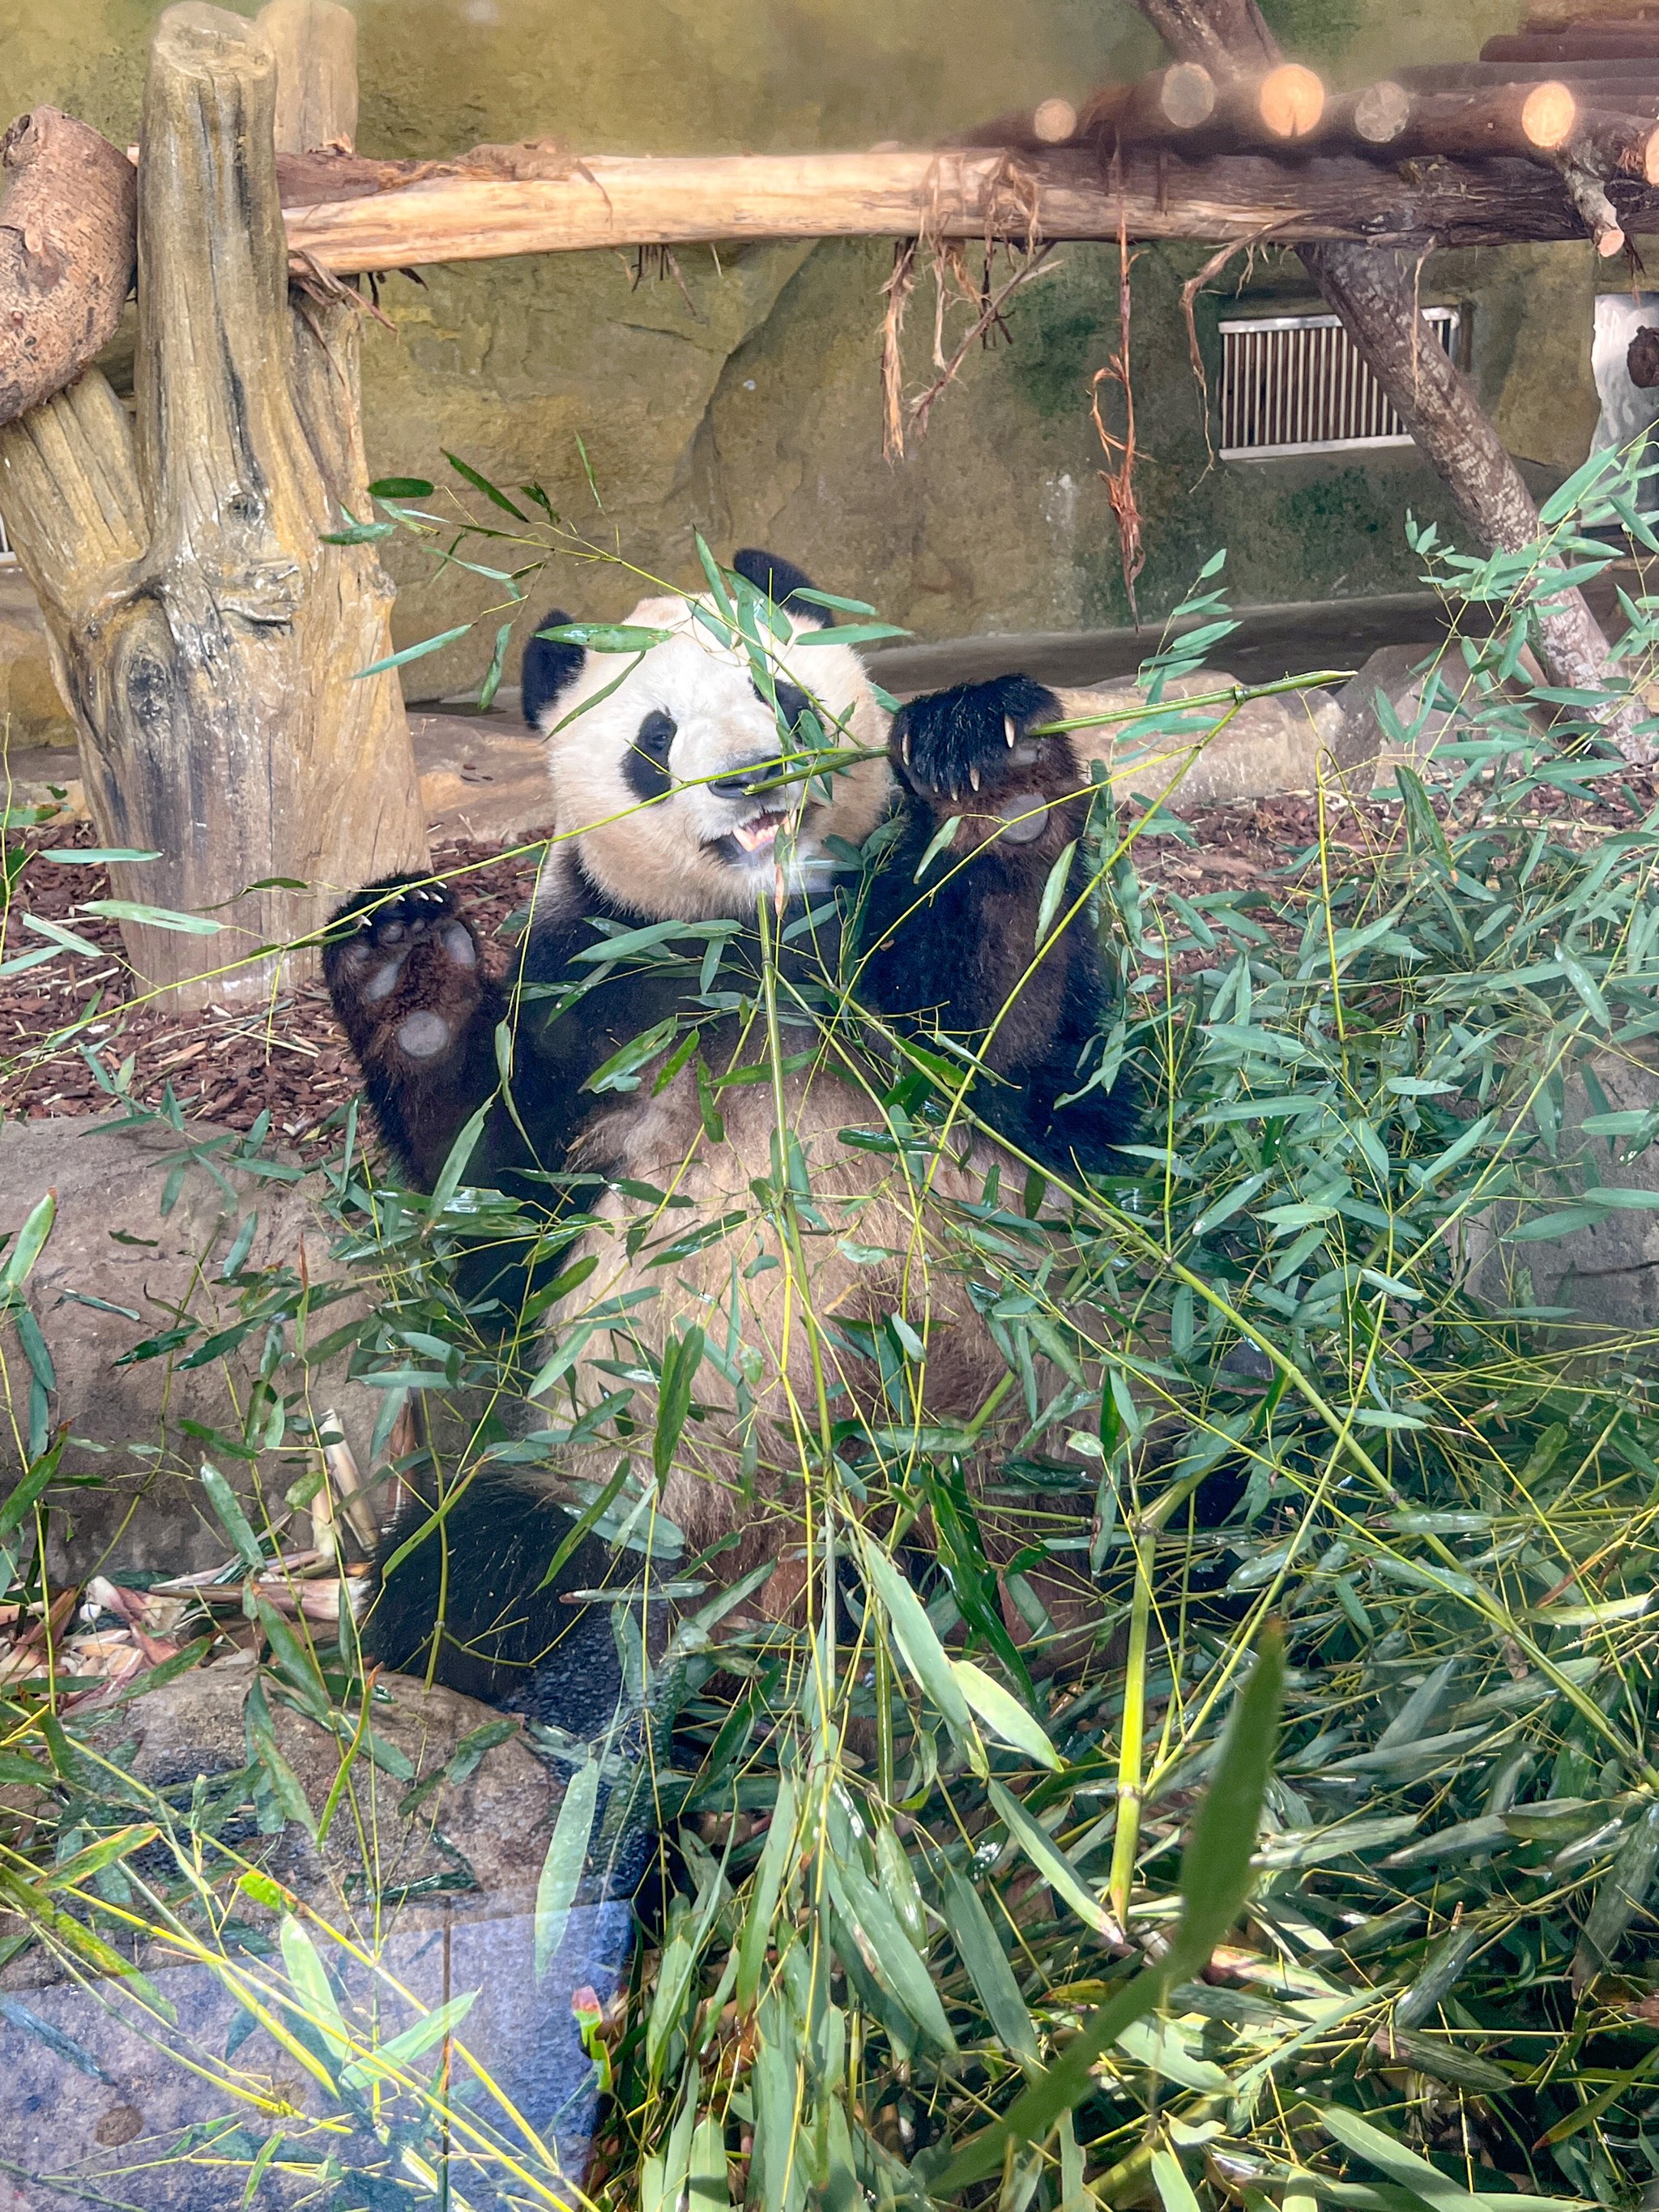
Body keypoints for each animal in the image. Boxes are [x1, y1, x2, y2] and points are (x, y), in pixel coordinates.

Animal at [320, 544, 1141, 1734]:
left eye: (782, 693)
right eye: (654, 737)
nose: (754, 778)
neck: (748, 940)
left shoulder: (877, 984)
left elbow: (1009, 1027)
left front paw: (997, 772)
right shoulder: (598, 998)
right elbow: (496, 1202)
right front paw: (402, 966)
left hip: (1066, 1395)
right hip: (612, 1464)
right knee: (482, 1571)